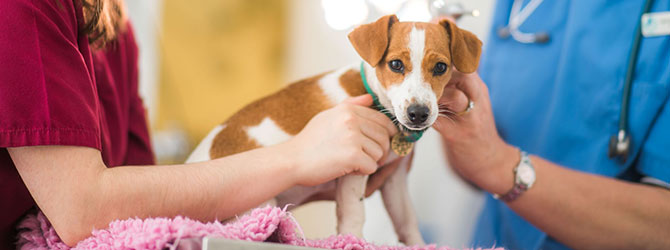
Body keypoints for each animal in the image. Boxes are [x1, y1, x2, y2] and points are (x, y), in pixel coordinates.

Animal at [188, 15, 484, 246]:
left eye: (441, 67)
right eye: (396, 64)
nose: (419, 114)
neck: (374, 97)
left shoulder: (395, 178)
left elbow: (407, 219)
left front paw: (419, 244)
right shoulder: (355, 167)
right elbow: (354, 213)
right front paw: (353, 240)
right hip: (260, 206)